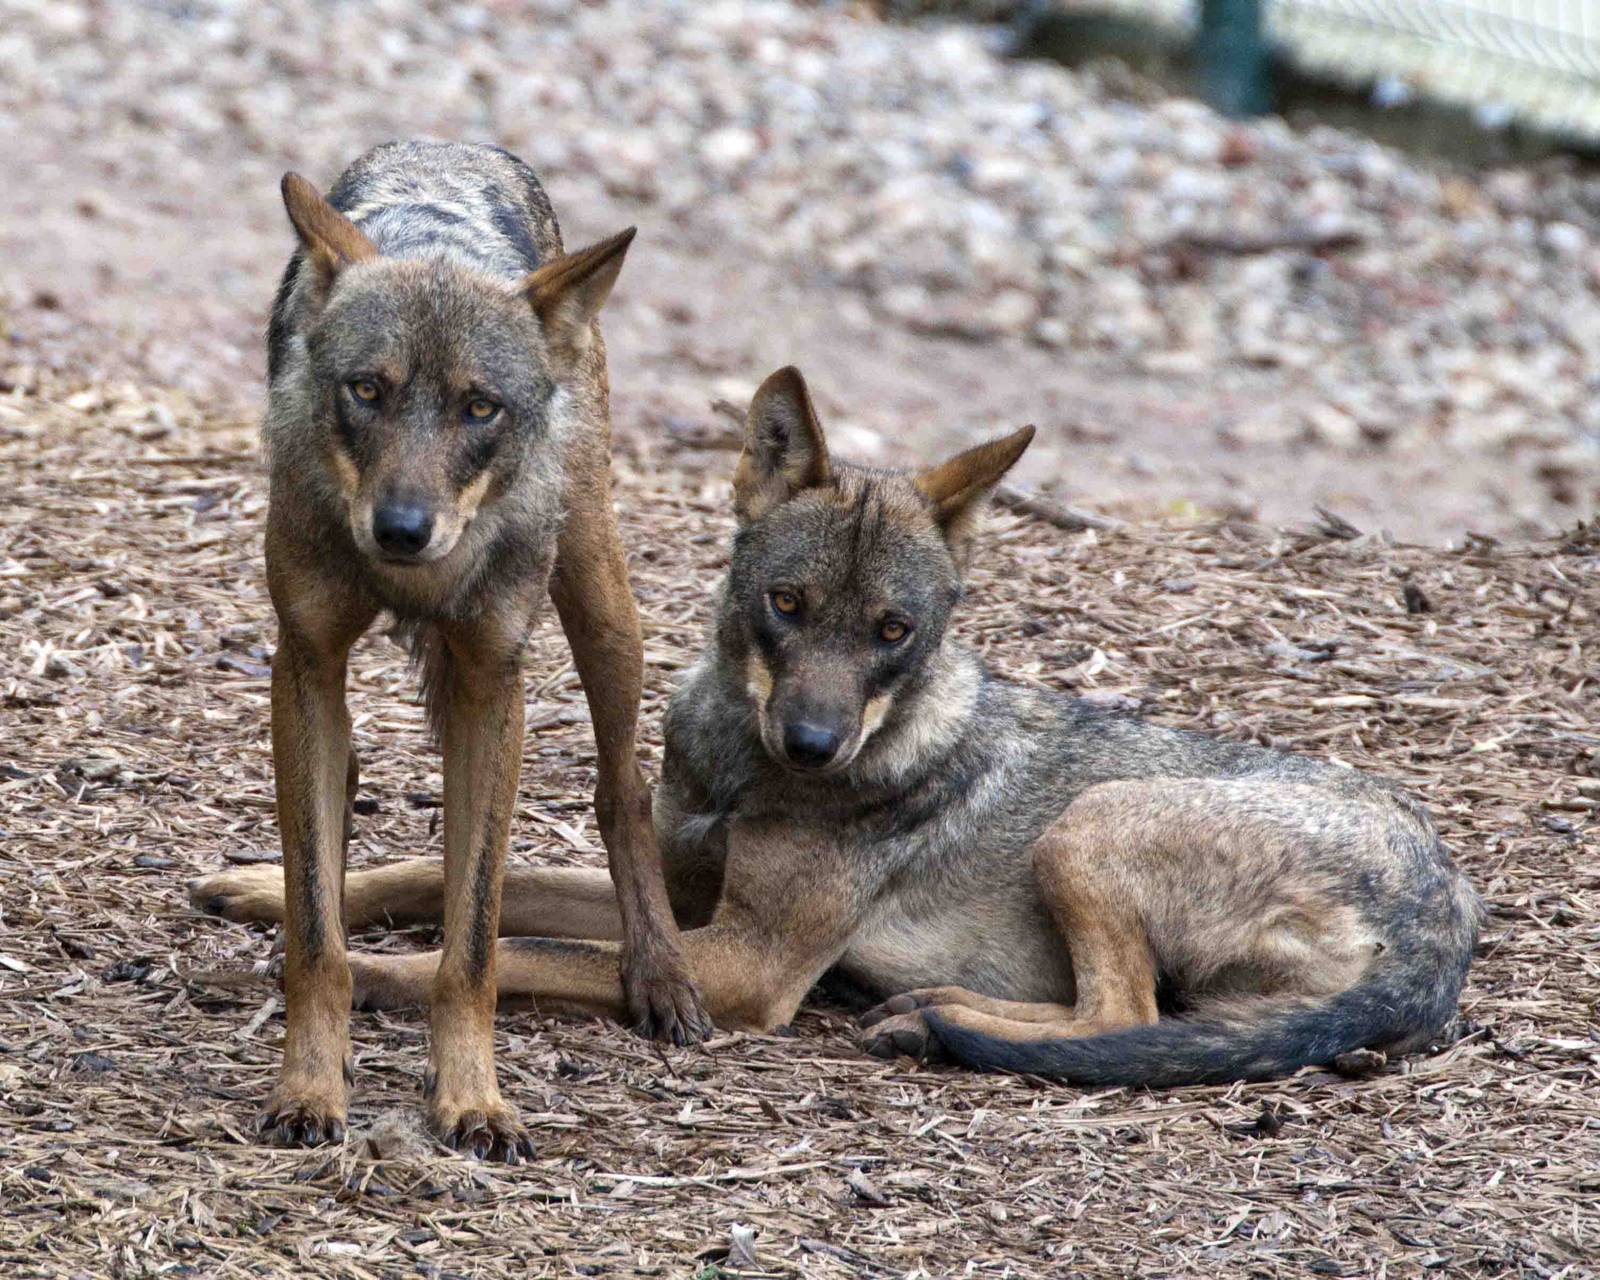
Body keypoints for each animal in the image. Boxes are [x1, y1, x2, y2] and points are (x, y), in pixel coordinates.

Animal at [194, 141, 711, 1160]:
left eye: (479, 408)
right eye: (367, 390)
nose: (401, 529)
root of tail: (454, 145)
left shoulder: (491, 686)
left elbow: (473, 941)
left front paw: (474, 1102)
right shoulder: (306, 663)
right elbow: (318, 934)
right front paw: (310, 1087)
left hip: (599, 599)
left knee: (624, 789)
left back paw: (661, 973)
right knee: (337, 832)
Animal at [194, 365, 1481, 1087]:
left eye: (892, 630)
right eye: (788, 604)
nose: (813, 744)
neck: (741, 768)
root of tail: (1450, 908)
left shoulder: (742, 964)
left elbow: (512, 952)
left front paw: (364, 975)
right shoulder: (676, 891)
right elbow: (432, 874)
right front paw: (263, 887)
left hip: (1091, 824)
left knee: (1122, 1014)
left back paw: (931, 1019)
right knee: (1134, 1017)